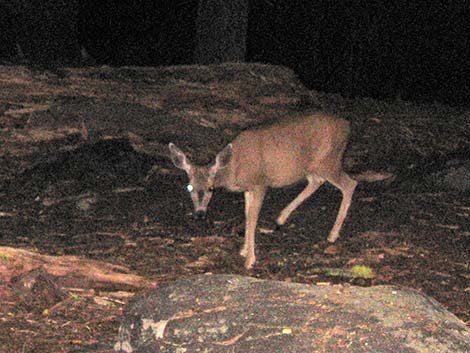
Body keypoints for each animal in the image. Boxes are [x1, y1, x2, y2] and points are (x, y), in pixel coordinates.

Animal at [171, 114, 358, 268]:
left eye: (211, 188)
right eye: (189, 187)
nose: (200, 214)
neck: (234, 169)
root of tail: (347, 125)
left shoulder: (260, 183)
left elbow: (253, 219)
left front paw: (250, 260)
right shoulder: (247, 189)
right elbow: (247, 216)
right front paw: (244, 250)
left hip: (328, 161)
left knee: (350, 184)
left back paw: (332, 234)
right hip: (312, 166)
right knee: (316, 181)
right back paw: (281, 218)